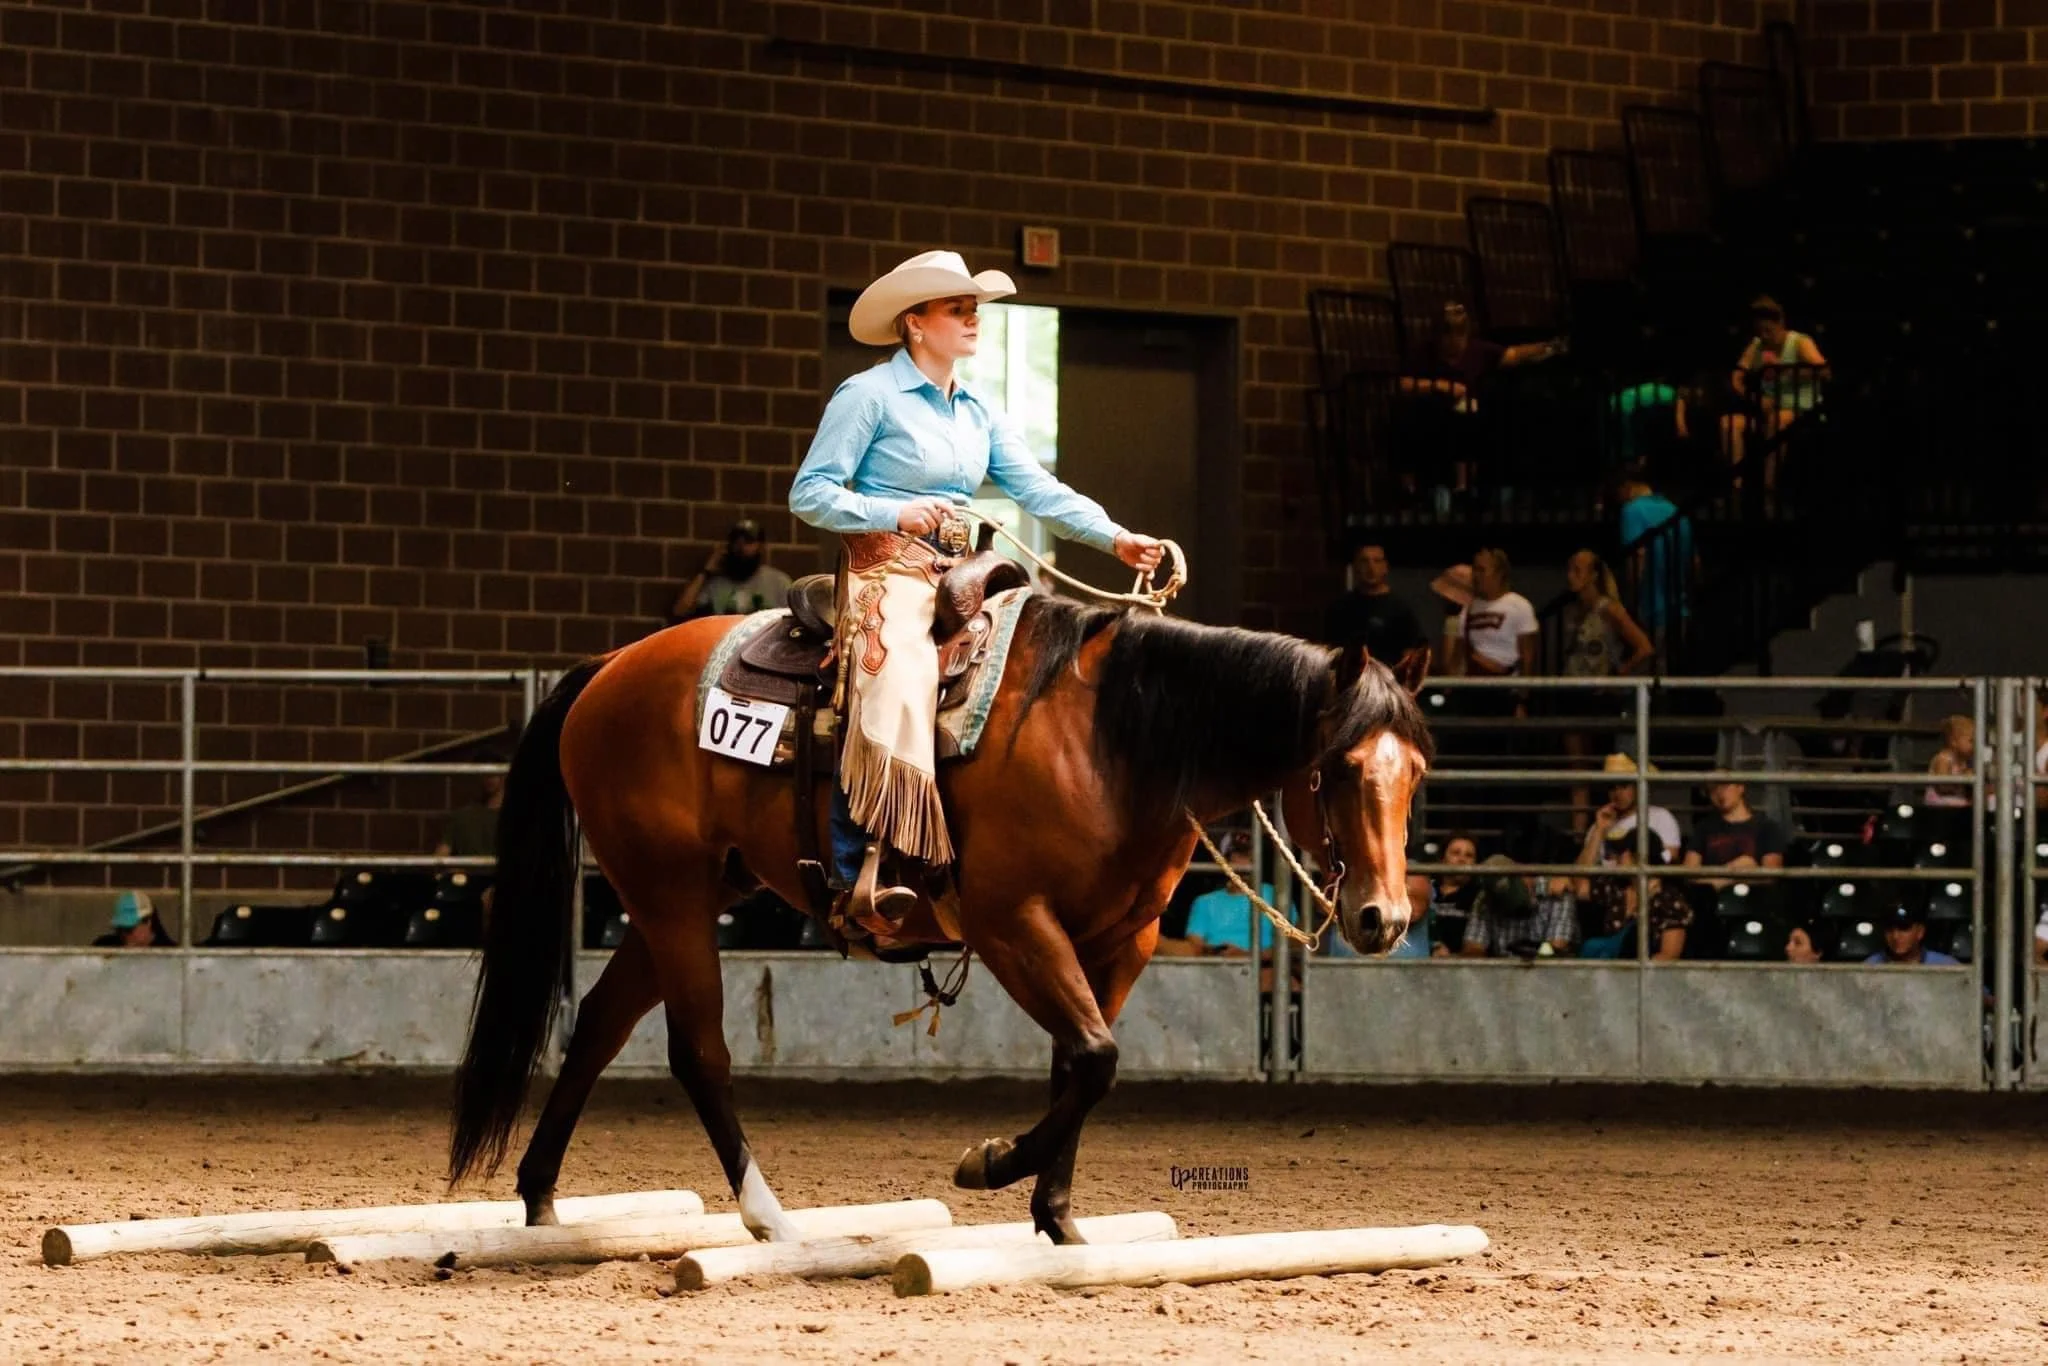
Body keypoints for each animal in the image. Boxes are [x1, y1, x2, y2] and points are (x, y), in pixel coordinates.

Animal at [447, 593, 1432, 1246]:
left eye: (1417, 769)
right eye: (1341, 768)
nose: (1383, 918)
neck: (1115, 741)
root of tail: (607, 672)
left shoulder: (1120, 943)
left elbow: (1082, 1065)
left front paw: (1058, 1223)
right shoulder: (1010, 924)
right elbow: (1094, 1058)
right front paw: (990, 1164)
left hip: (683, 899)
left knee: (598, 1027)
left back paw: (541, 1202)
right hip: (671, 894)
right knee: (699, 1052)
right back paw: (769, 1218)